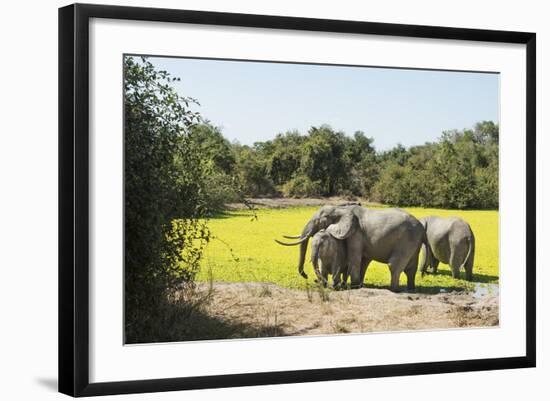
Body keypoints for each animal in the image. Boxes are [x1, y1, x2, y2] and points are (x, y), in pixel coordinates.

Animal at [278, 205, 430, 290]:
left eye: (318, 221)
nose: (305, 275)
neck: (341, 209)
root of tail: (422, 228)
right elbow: (363, 260)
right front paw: (358, 285)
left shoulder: (355, 233)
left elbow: (355, 257)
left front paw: (355, 286)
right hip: (413, 242)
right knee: (411, 268)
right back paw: (410, 289)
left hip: (407, 240)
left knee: (394, 265)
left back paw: (394, 290)